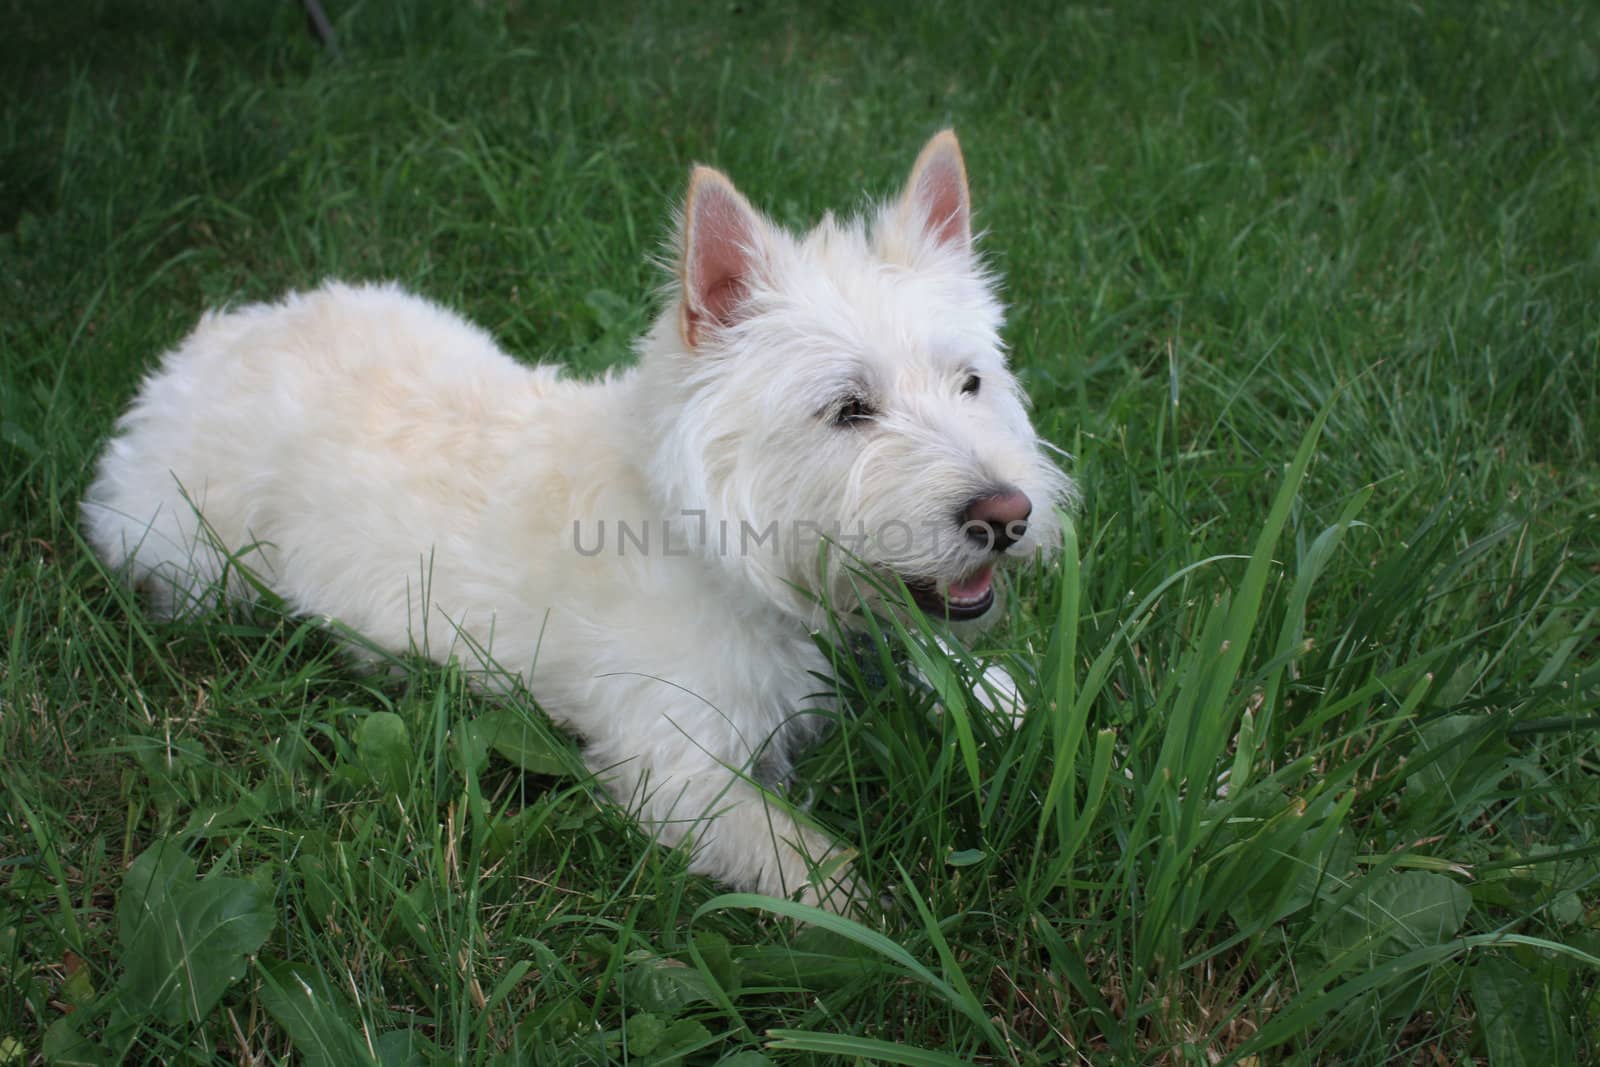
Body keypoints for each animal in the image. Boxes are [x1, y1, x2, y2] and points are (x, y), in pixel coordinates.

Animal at [78, 131, 1075, 908]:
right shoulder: (676, 768)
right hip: (198, 561)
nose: (1008, 514)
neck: (723, 550)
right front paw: (884, 925)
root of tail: (198, 345)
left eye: (971, 381)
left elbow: (986, 684)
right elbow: (811, 864)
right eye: (848, 409)